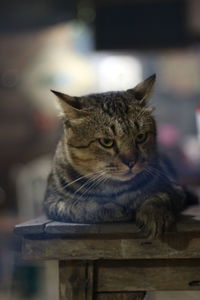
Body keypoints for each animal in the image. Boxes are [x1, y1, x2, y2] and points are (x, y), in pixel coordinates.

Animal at [43, 75, 197, 239]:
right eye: (106, 142)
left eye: (141, 137)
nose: (131, 162)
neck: (114, 188)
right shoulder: (53, 202)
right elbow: (82, 208)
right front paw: (111, 209)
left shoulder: (173, 188)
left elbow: (159, 198)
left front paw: (154, 214)